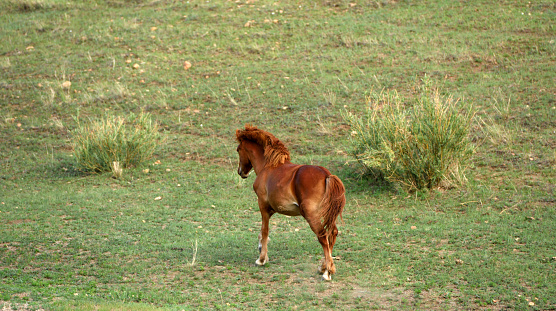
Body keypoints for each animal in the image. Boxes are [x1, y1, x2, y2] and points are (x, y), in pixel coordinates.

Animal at [233, 125, 346, 282]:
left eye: (238, 149)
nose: (241, 172)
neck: (269, 166)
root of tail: (327, 175)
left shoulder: (262, 205)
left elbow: (264, 231)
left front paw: (261, 259)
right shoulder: (271, 209)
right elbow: (262, 233)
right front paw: (261, 251)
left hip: (311, 215)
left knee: (323, 237)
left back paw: (327, 272)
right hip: (327, 214)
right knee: (332, 234)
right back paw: (323, 267)